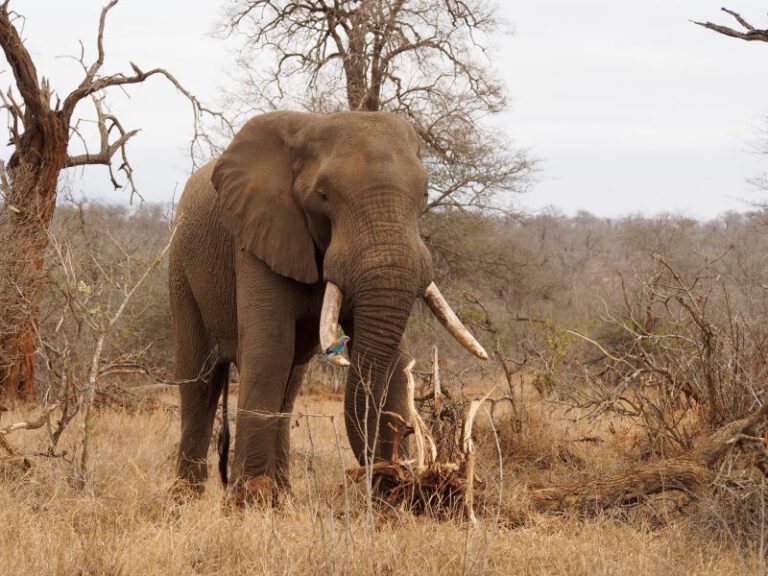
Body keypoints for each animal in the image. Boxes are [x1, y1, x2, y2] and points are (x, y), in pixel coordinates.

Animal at [171, 110, 488, 502]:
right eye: (323, 196)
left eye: (425, 193)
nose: (392, 475)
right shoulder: (258, 238)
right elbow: (269, 349)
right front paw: (249, 501)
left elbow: (395, 361)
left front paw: (389, 495)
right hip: (180, 265)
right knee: (199, 379)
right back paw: (185, 499)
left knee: (290, 383)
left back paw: (283, 498)